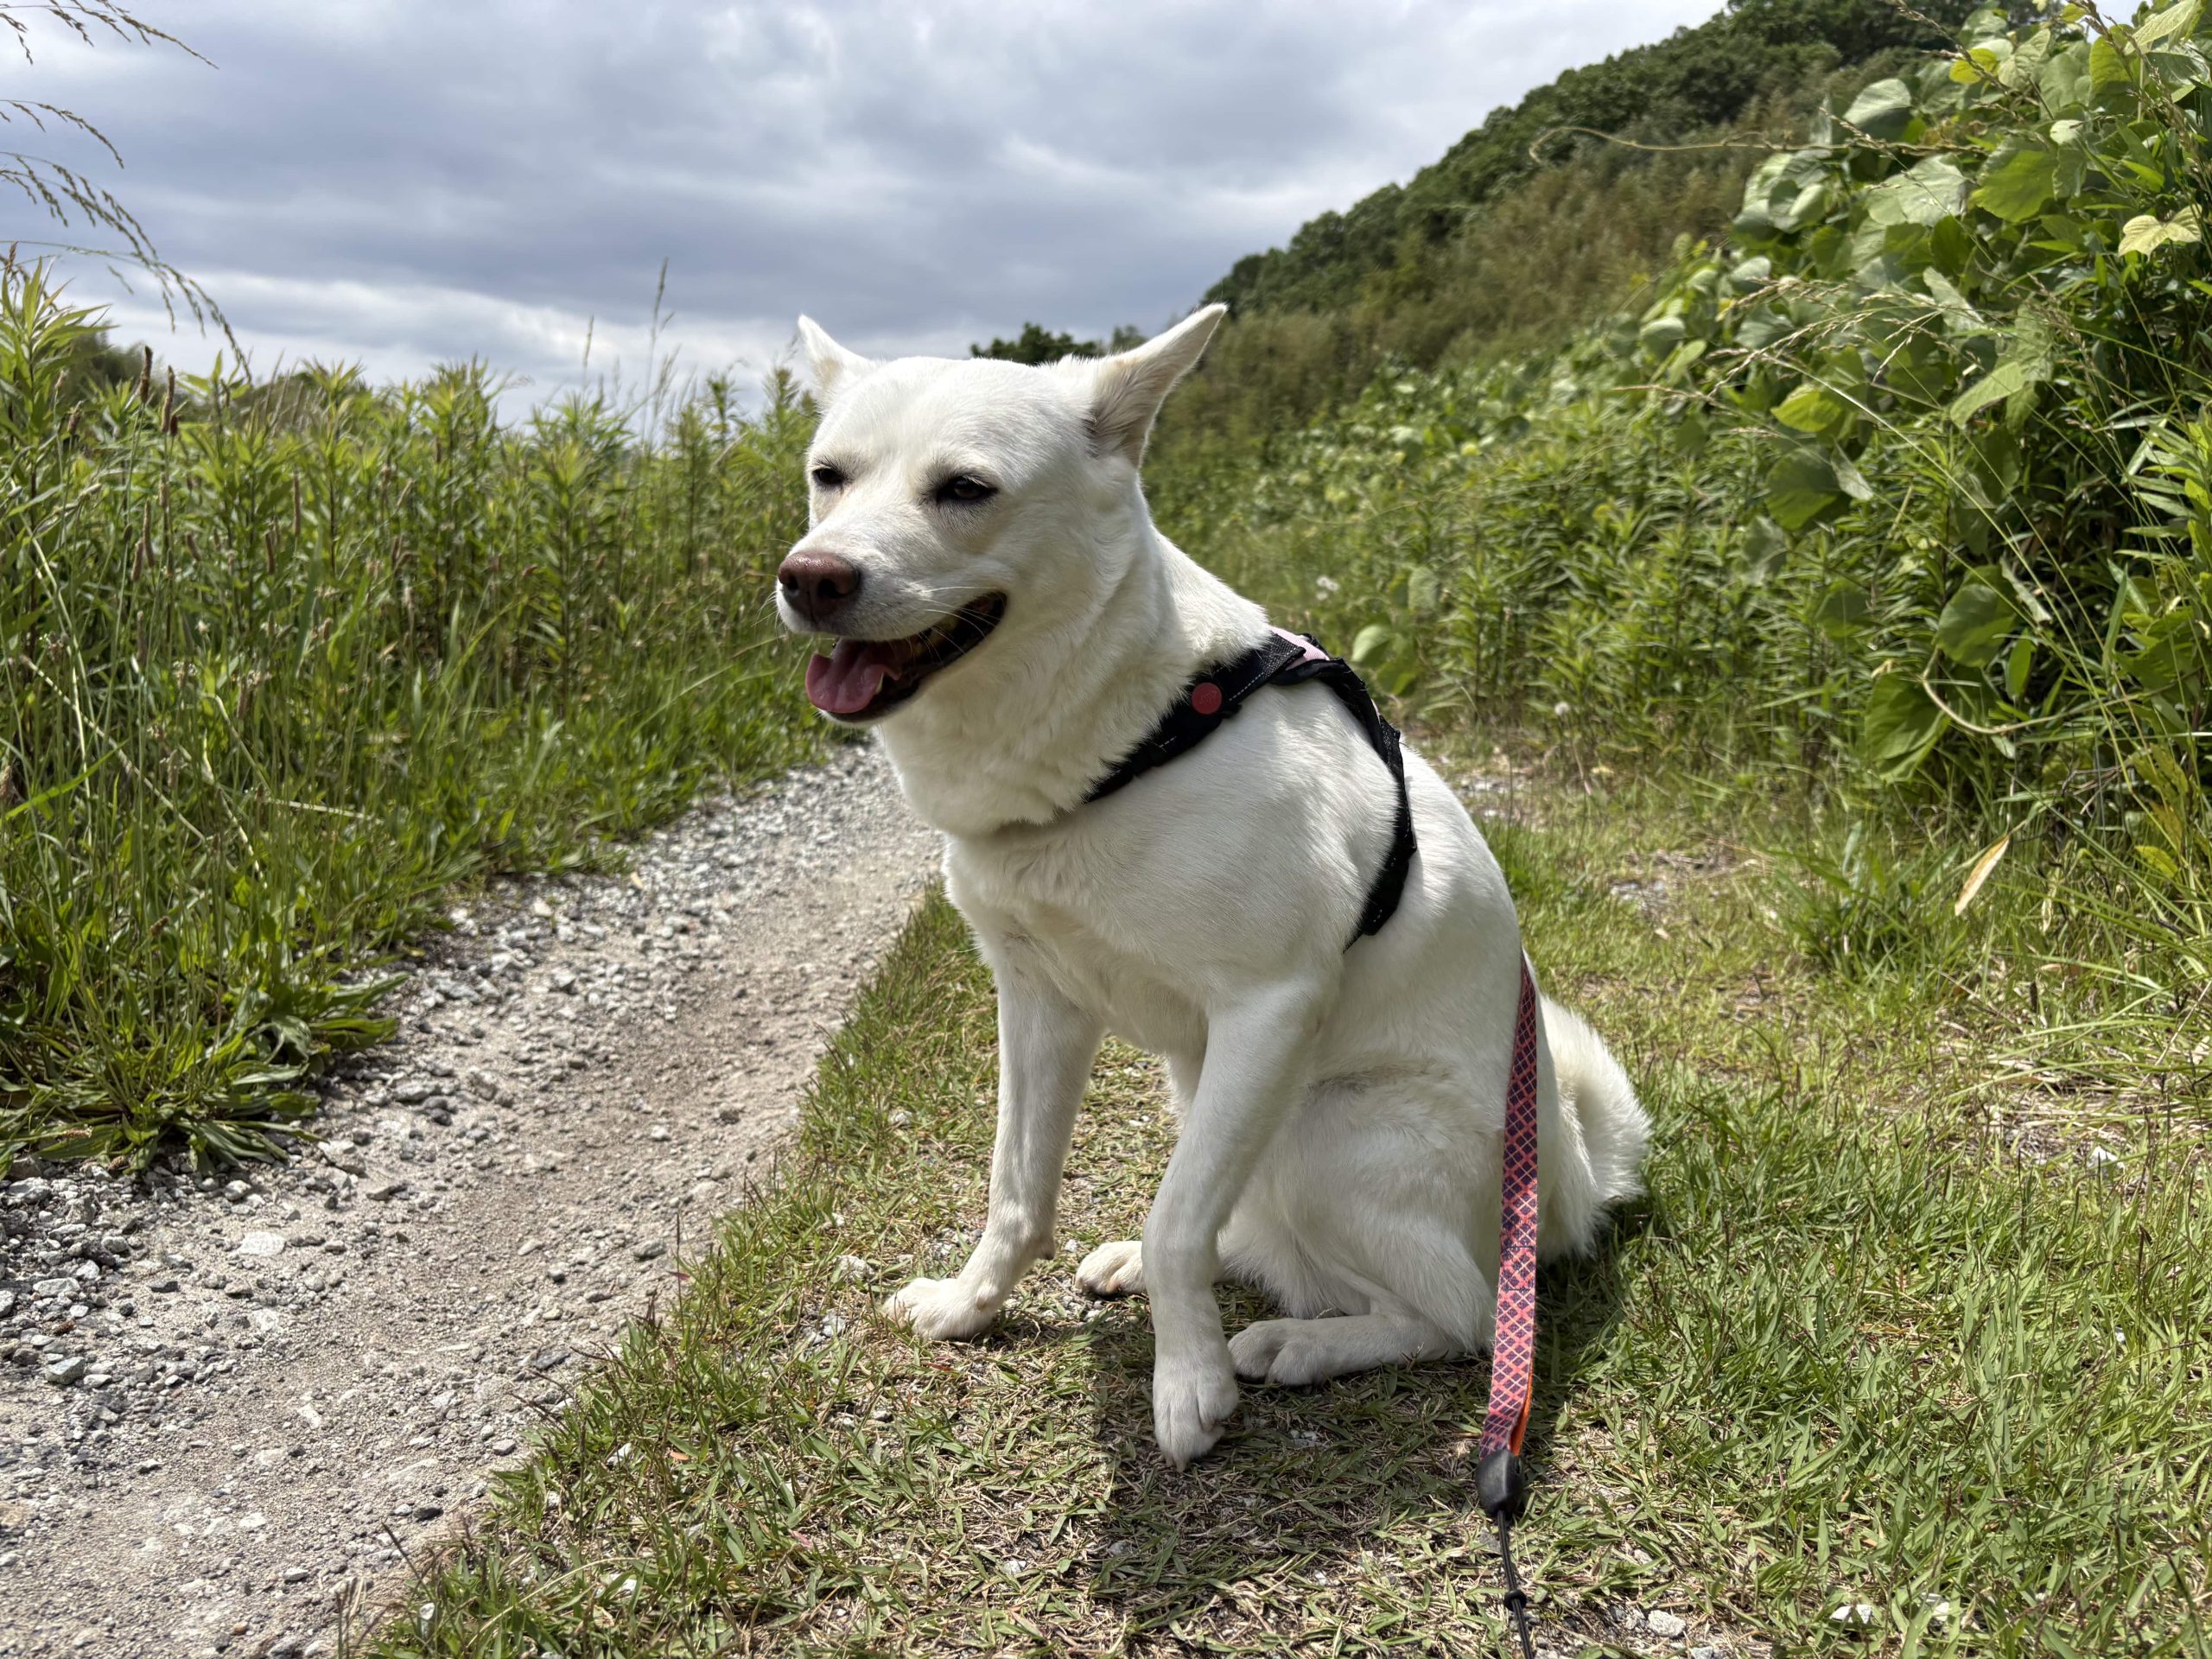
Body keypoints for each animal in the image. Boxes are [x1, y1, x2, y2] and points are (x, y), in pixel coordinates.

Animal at [775, 305, 1649, 1468]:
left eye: (964, 488)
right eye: (828, 476)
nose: (811, 577)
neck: (1126, 737)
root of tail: (1573, 1190)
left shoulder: (1267, 1008)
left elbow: (1174, 1216)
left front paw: (1185, 1382)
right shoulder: (1037, 1002)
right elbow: (1018, 1191)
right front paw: (972, 1306)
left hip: (1325, 1124)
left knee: (1454, 1315)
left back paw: (1296, 1343)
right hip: (1209, 1094)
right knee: (1252, 1227)